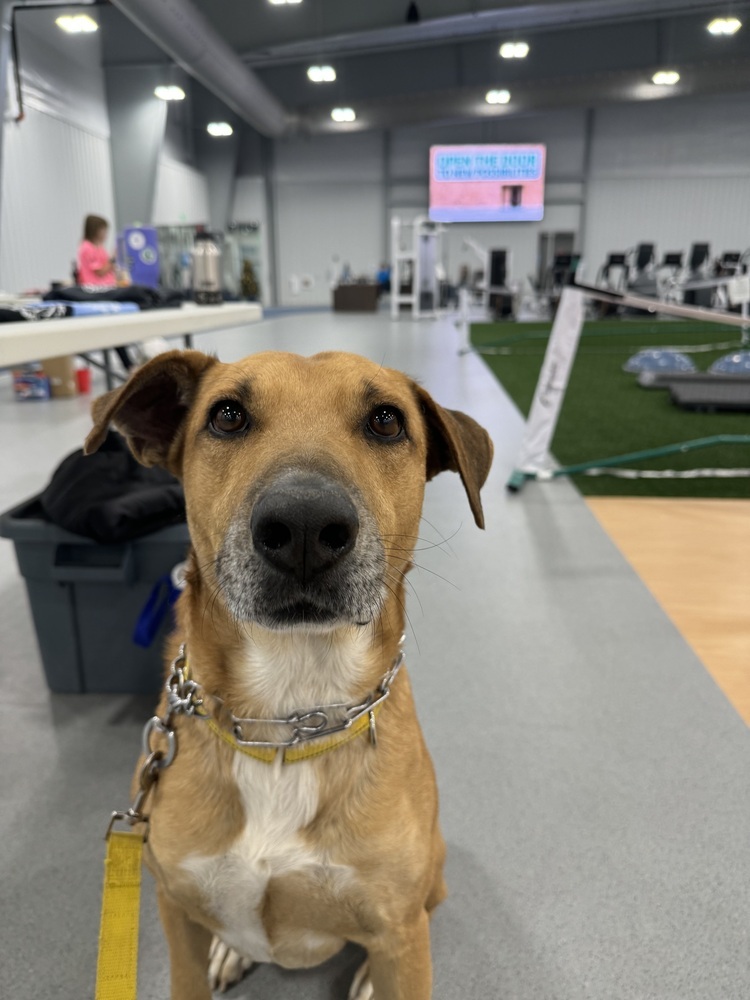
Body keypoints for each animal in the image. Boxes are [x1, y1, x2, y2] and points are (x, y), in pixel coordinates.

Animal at [85, 352, 494, 1000]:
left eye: (386, 420)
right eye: (227, 415)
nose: (304, 525)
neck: (287, 713)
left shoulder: (398, 927)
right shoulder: (176, 909)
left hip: (427, 882)